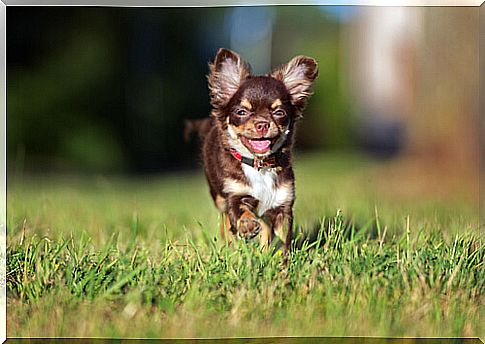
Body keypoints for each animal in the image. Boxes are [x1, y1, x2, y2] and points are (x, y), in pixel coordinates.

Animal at [189, 48, 318, 253]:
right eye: (242, 112)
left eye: (279, 112)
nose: (262, 124)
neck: (259, 165)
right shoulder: (235, 195)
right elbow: (241, 212)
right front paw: (247, 225)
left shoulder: (282, 204)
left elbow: (282, 239)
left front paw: (280, 260)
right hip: (219, 197)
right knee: (225, 220)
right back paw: (230, 246)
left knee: (264, 226)